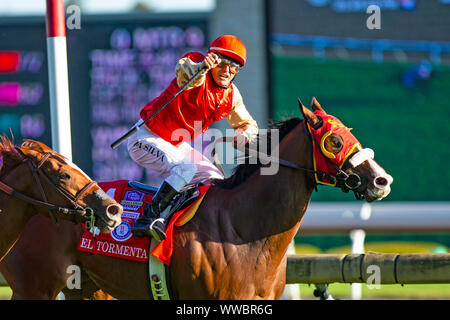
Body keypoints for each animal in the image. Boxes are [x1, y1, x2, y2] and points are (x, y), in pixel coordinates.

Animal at [0, 100, 392, 300]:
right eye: (334, 141)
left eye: (349, 134)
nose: (381, 180)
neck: (244, 231)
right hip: (35, 288)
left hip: (89, 290)